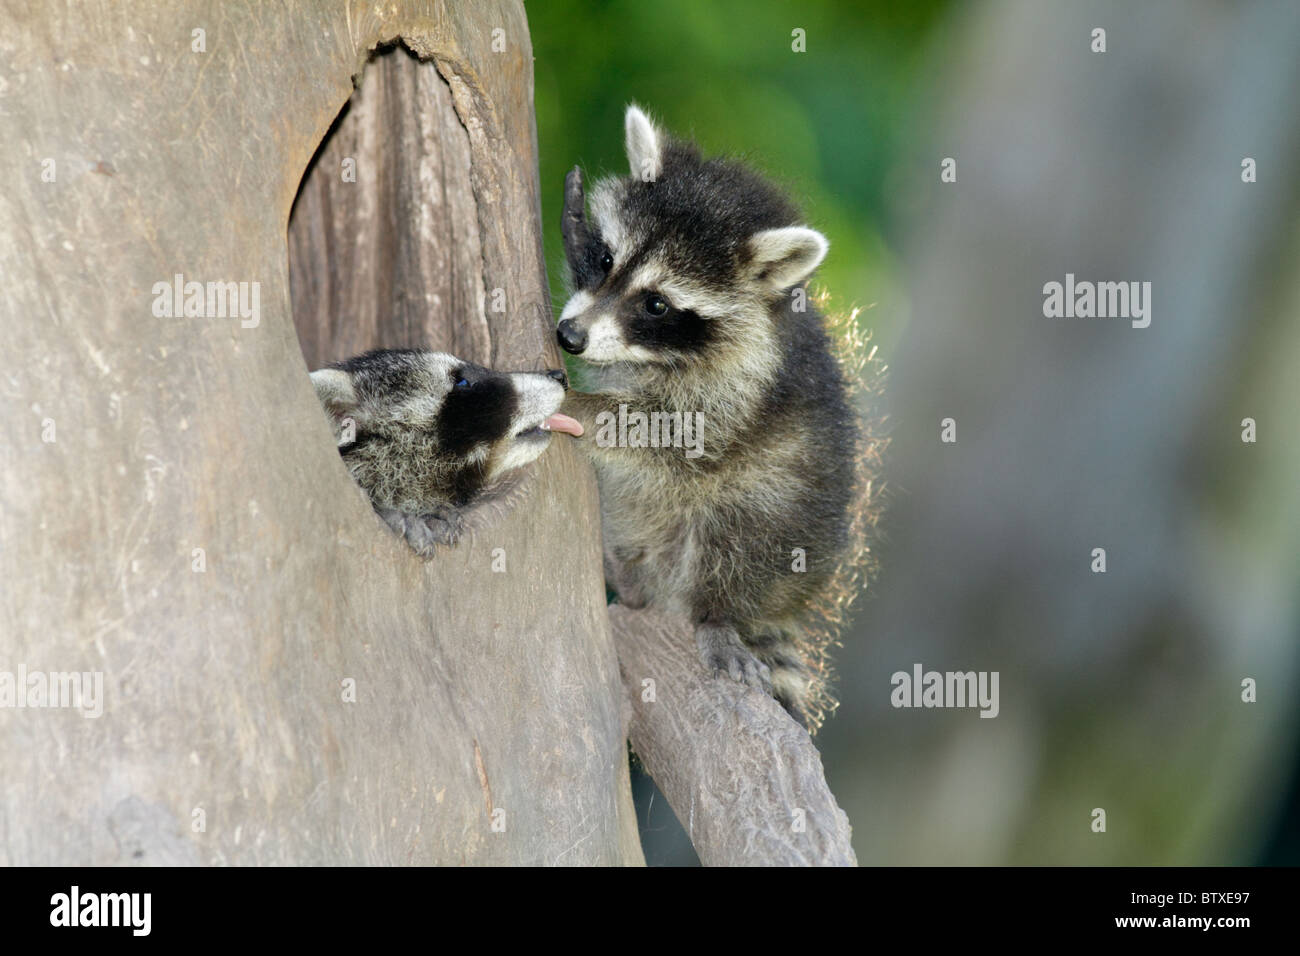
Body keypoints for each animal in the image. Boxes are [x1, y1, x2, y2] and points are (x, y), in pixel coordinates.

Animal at [553, 106, 878, 733]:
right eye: (606, 260)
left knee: (737, 529)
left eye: (657, 304)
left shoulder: (739, 392)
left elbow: (670, 436)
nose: (569, 337)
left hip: (779, 519)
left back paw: (715, 612)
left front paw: (577, 403)